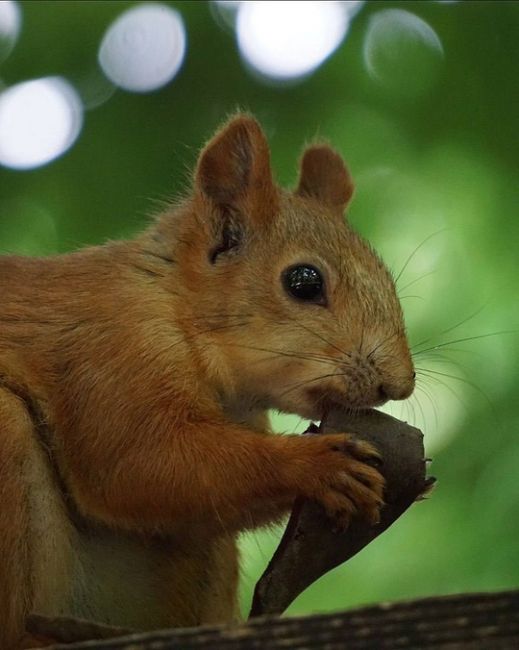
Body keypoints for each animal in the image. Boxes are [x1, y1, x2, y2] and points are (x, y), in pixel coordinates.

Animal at [0, 114, 414, 644]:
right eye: (303, 282)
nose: (399, 384)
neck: (176, 306)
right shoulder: (108, 351)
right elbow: (136, 463)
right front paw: (318, 464)